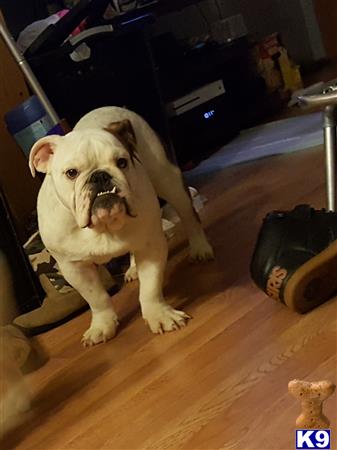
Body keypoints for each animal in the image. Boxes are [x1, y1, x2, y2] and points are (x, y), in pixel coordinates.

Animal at [28, 107, 213, 346]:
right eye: (71, 173)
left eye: (122, 162)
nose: (100, 175)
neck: (104, 225)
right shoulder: (74, 268)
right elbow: (97, 298)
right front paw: (102, 325)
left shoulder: (151, 247)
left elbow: (150, 288)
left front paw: (159, 315)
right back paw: (133, 268)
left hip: (169, 182)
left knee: (190, 217)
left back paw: (200, 248)